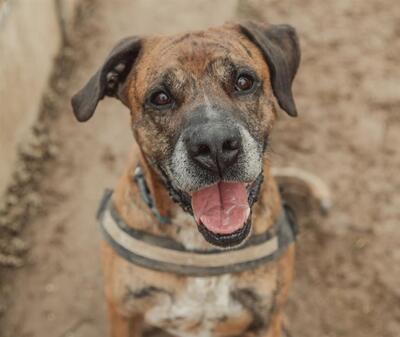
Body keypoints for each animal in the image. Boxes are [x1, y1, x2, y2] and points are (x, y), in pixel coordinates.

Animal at [72, 21, 304, 336]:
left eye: (244, 82)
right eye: (161, 98)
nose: (215, 145)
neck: (201, 245)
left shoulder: (267, 319)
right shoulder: (123, 316)